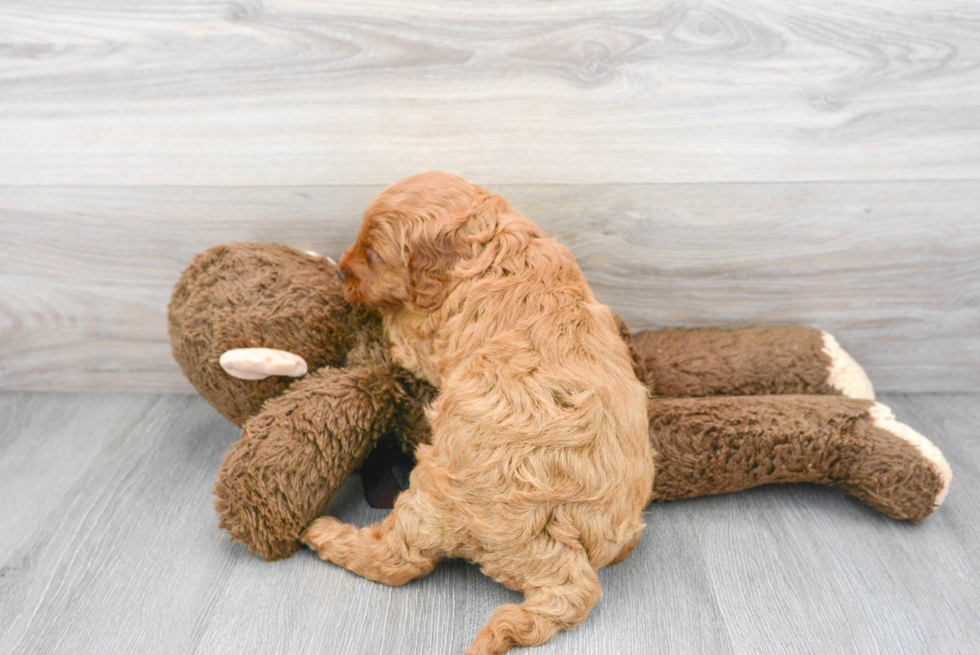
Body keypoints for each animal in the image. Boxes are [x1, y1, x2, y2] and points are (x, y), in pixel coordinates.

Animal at [302, 172, 656, 652]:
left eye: (375, 255)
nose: (340, 269)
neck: (492, 239)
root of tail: (563, 555)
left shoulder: (425, 333)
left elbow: (397, 327)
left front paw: (370, 315)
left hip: (436, 493)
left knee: (399, 561)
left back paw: (323, 533)